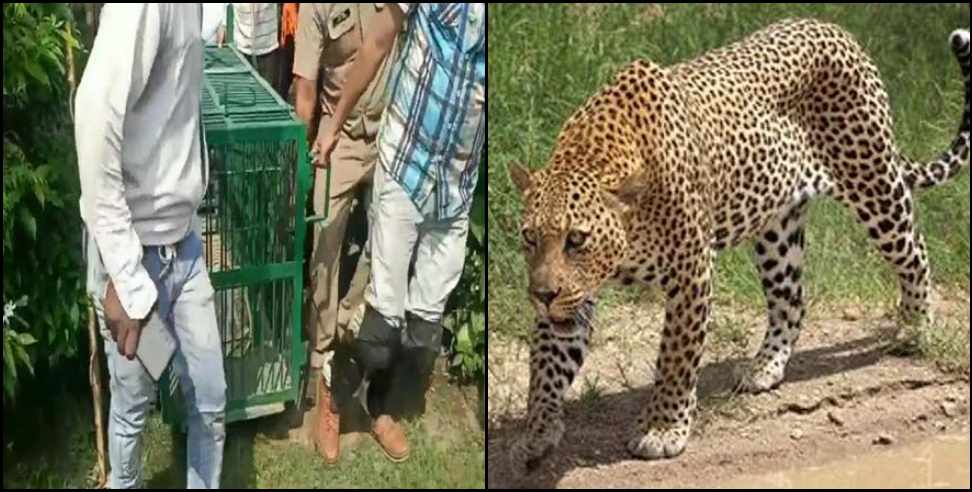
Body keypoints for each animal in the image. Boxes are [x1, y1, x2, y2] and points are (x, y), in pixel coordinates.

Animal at [504, 17, 968, 474]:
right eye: (529, 237)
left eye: (576, 239)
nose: (542, 295)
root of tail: (834, 27)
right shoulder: (574, 292)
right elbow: (546, 361)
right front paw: (538, 430)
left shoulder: (691, 270)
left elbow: (676, 355)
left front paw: (663, 428)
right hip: (777, 229)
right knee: (791, 300)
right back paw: (765, 367)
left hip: (874, 183)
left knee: (915, 251)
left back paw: (915, 327)